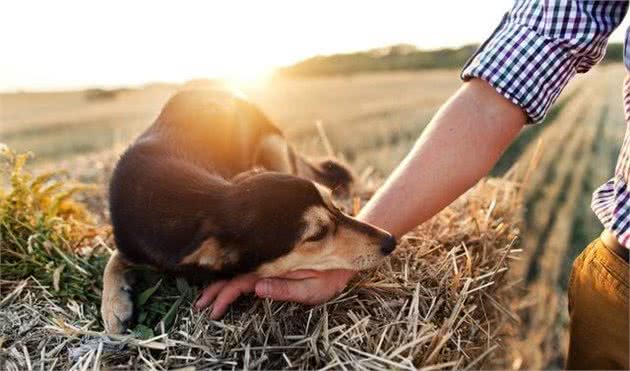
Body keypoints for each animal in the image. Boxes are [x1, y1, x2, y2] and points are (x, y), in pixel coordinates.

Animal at [102, 87, 400, 334]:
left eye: (333, 204)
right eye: (316, 235)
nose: (390, 240)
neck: (185, 198)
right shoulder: (131, 242)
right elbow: (113, 259)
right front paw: (113, 307)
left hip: (273, 143)